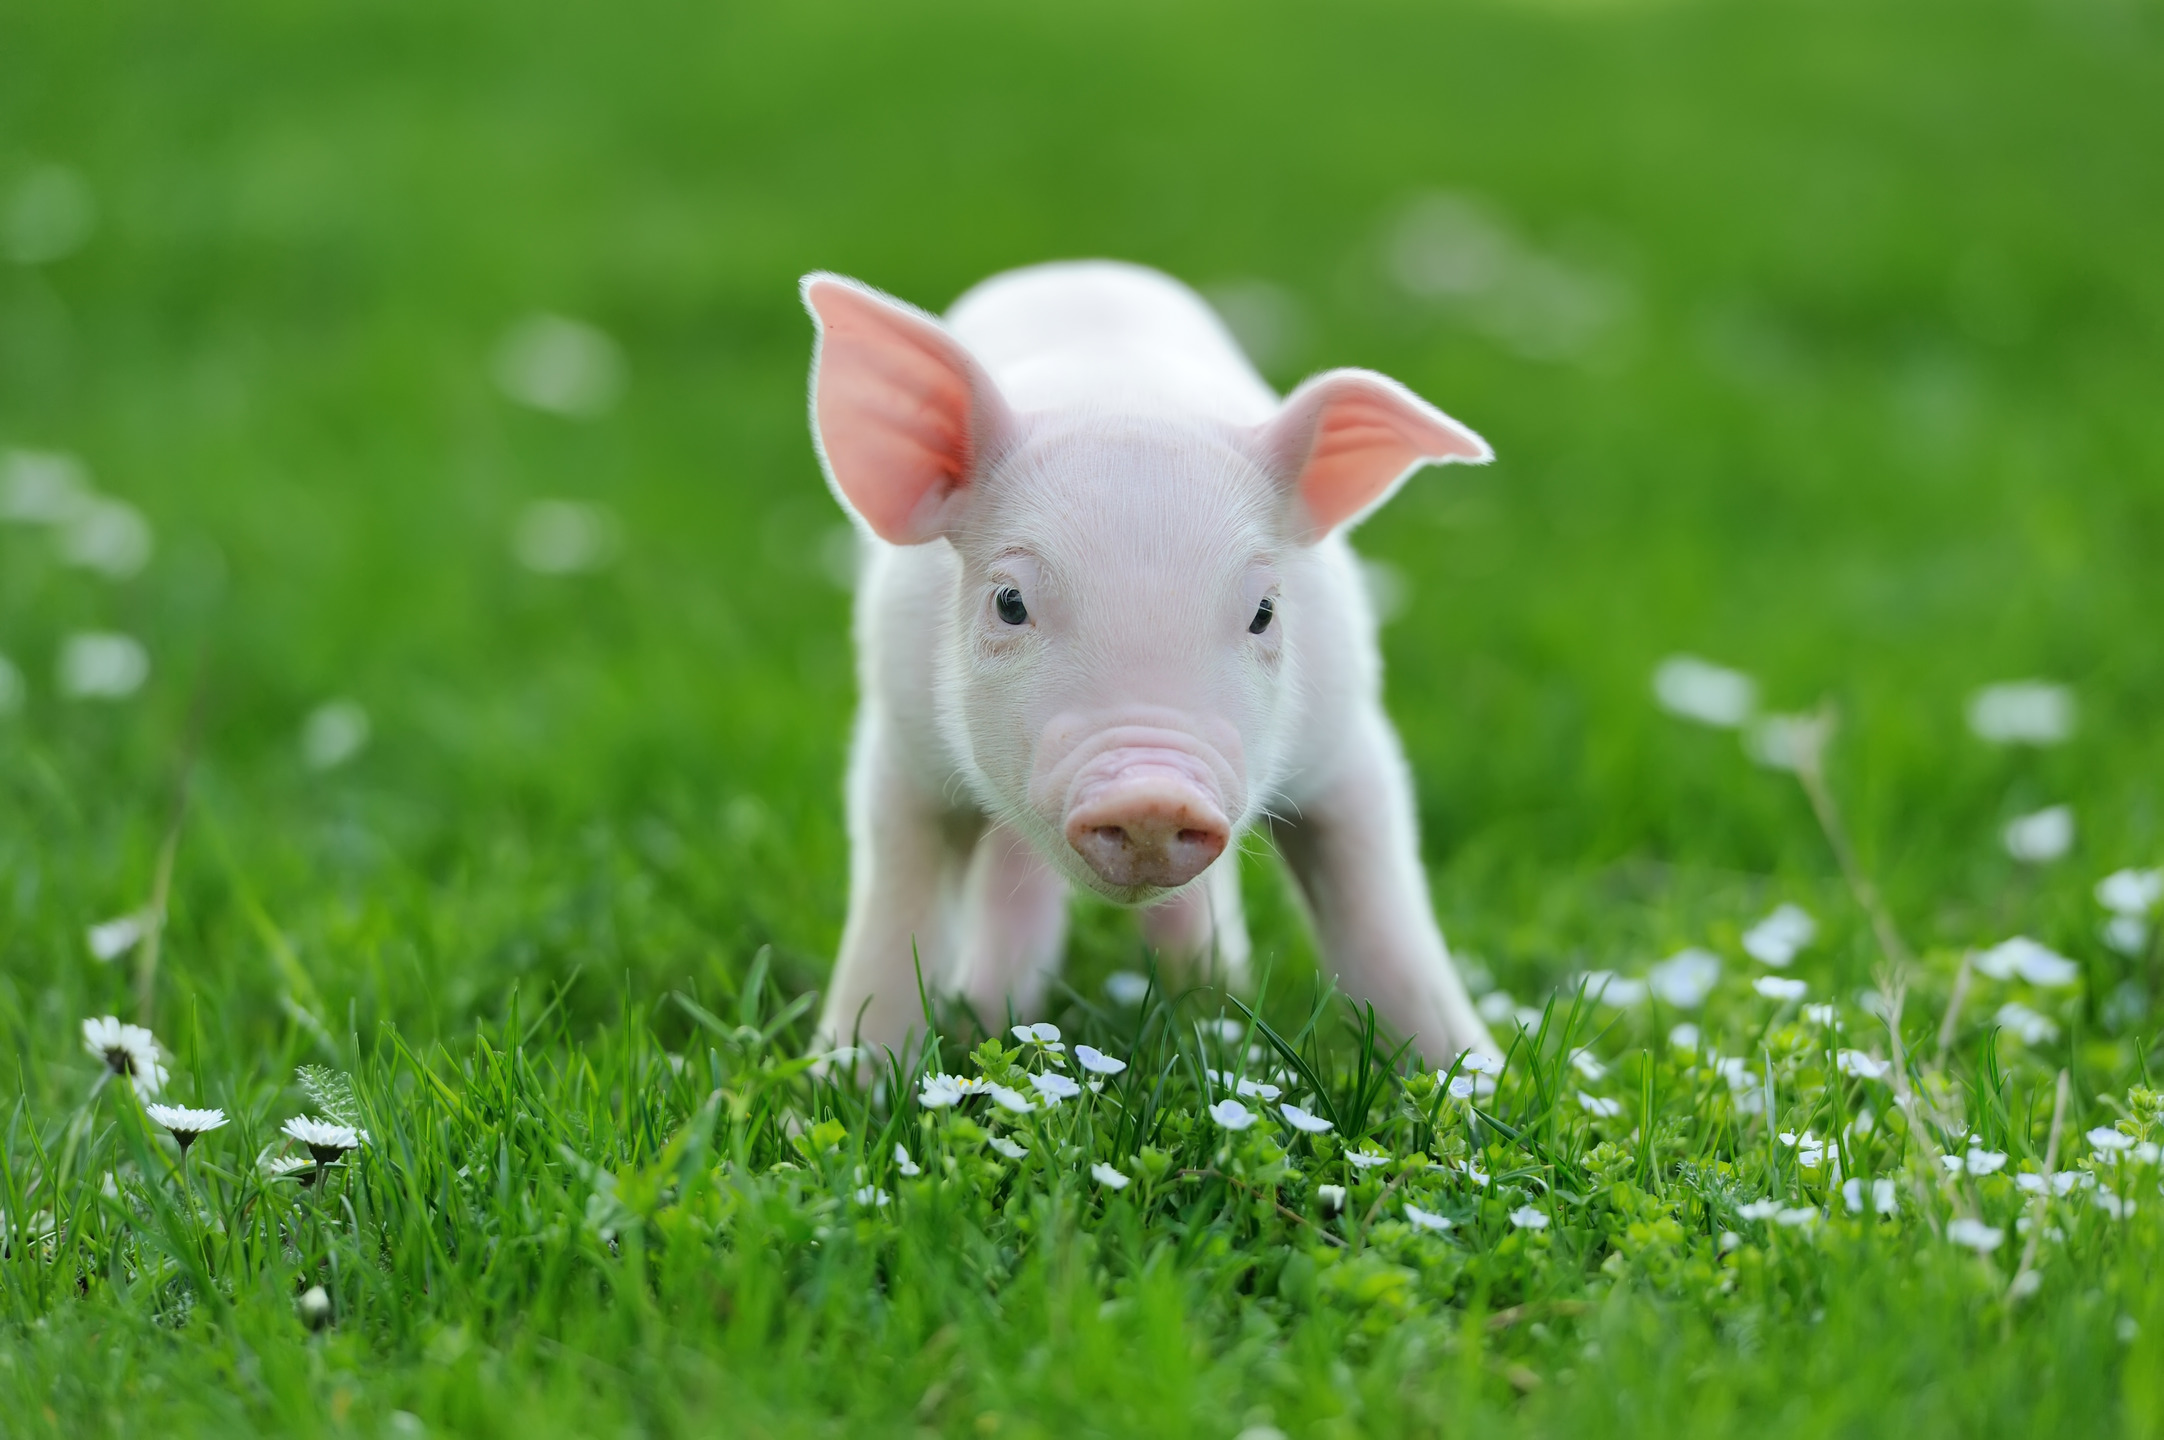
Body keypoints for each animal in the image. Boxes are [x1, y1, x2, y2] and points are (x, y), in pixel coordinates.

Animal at [800, 260, 1499, 1066]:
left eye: (1265, 612)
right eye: (1010, 602)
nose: (1152, 798)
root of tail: (1080, 268)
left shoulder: (1348, 738)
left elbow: (1385, 919)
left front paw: (1478, 1076)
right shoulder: (901, 745)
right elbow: (894, 916)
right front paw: (845, 1076)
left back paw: (1207, 996)